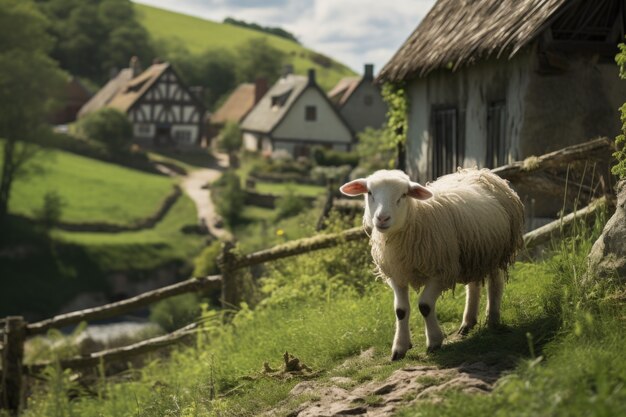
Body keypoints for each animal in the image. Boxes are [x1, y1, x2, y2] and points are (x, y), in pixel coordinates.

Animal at [338, 167, 524, 360]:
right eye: (369, 192)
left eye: (403, 195)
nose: (382, 218)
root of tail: (477, 171)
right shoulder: (397, 275)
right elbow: (400, 310)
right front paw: (400, 347)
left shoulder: (442, 272)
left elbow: (425, 306)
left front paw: (434, 341)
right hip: (473, 253)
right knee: (473, 286)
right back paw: (467, 323)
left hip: (496, 251)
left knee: (495, 283)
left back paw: (493, 320)